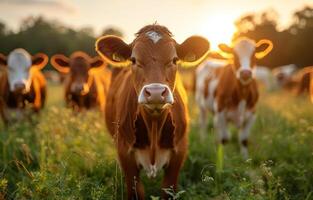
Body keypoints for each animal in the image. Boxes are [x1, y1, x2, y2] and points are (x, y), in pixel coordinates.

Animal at [94, 24, 208, 199]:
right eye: (133, 60)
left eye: (174, 59)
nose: (155, 92)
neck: (154, 125)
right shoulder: (125, 155)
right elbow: (136, 191)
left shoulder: (178, 154)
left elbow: (168, 191)